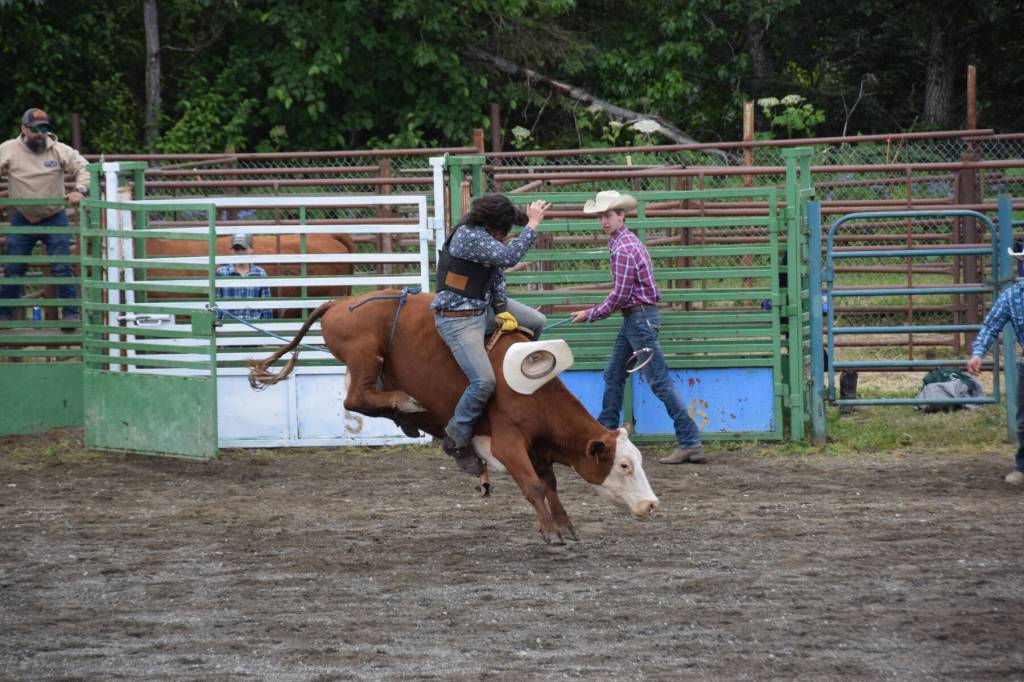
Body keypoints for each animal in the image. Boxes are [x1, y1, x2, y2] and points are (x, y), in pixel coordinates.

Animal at [247, 289, 659, 544]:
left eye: (638, 461)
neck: (535, 393)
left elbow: (550, 485)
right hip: (364, 352)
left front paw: (565, 526)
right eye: (623, 465)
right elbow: (534, 486)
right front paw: (551, 532)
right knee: (354, 398)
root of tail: (340, 302)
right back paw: (406, 405)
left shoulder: (540, 450)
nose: (652, 504)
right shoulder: (508, 443)